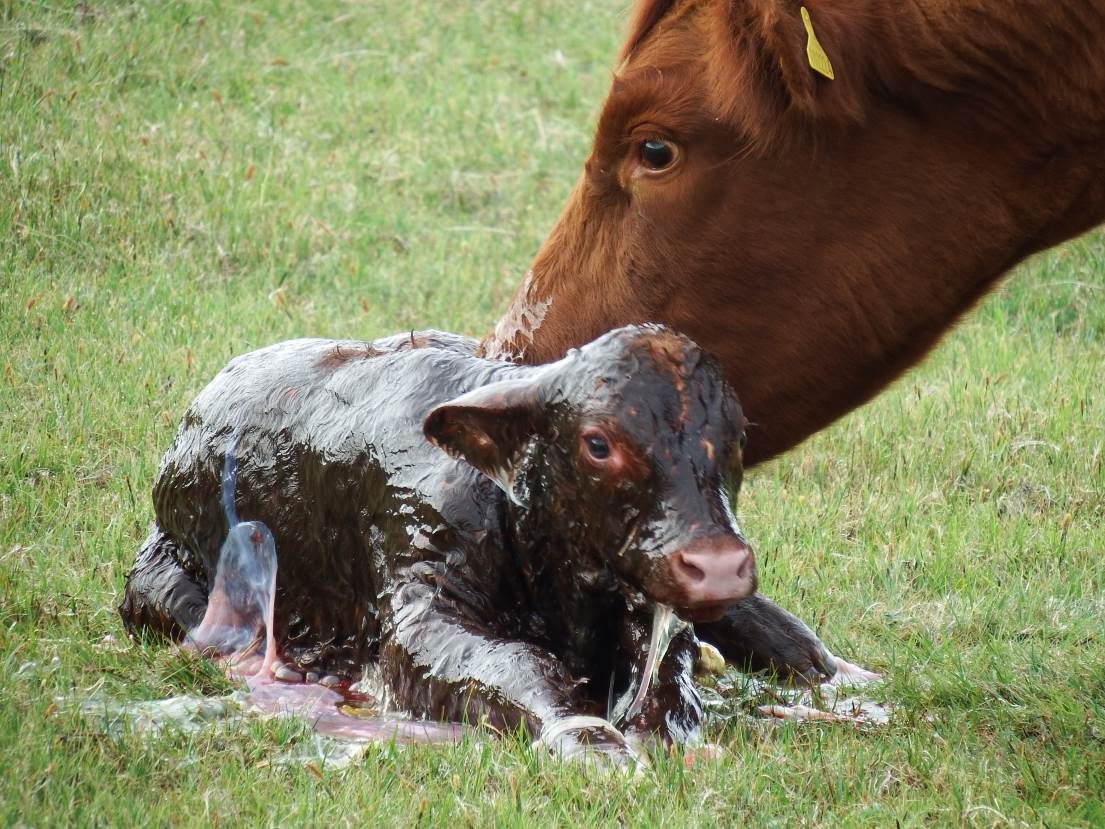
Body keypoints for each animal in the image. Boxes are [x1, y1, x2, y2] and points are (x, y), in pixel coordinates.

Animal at [120, 322, 830, 760]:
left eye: (737, 435)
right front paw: (587, 739)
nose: (718, 565)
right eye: (597, 443)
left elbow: (669, 669)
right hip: (165, 586)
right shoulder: (422, 609)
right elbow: (516, 664)